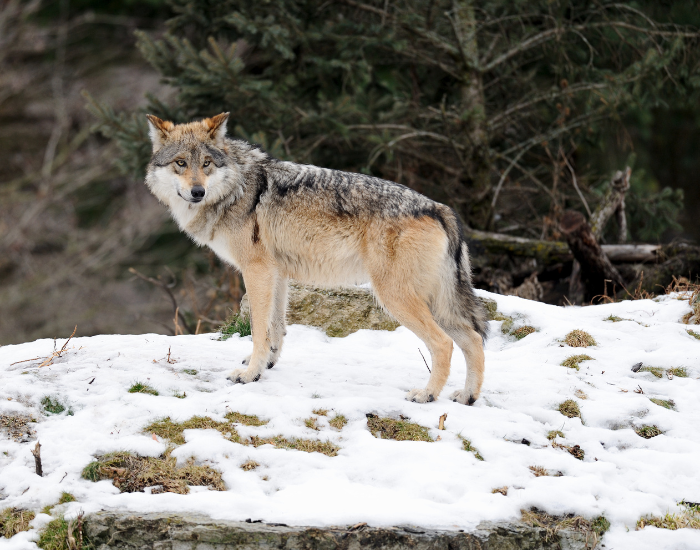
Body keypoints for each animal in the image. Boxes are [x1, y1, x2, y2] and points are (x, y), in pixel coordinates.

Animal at [145, 113, 488, 404]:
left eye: (206, 163)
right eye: (180, 163)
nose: (198, 192)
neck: (237, 187)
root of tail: (439, 208)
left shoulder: (256, 271)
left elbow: (258, 329)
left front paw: (249, 374)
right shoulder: (276, 274)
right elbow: (275, 328)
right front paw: (266, 364)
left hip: (396, 298)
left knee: (444, 343)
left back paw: (427, 394)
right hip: (436, 303)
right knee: (473, 340)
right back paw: (467, 397)